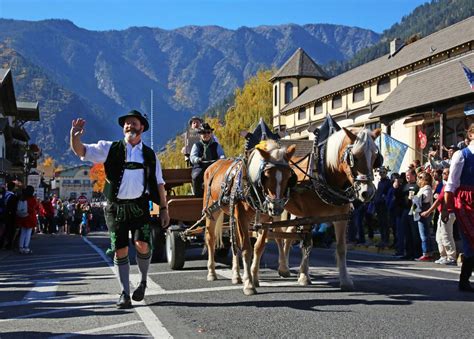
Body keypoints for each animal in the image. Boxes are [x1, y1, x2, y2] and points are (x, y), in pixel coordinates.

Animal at [252, 128, 382, 292]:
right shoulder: (309, 216)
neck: (324, 175)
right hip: (274, 210)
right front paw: (304, 276)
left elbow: (341, 248)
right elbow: (307, 244)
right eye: (355, 157)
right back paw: (275, 269)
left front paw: (345, 280)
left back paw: (285, 268)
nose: (367, 192)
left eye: (375, 157)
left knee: (287, 234)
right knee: (275, 235)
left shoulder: (341, 217)